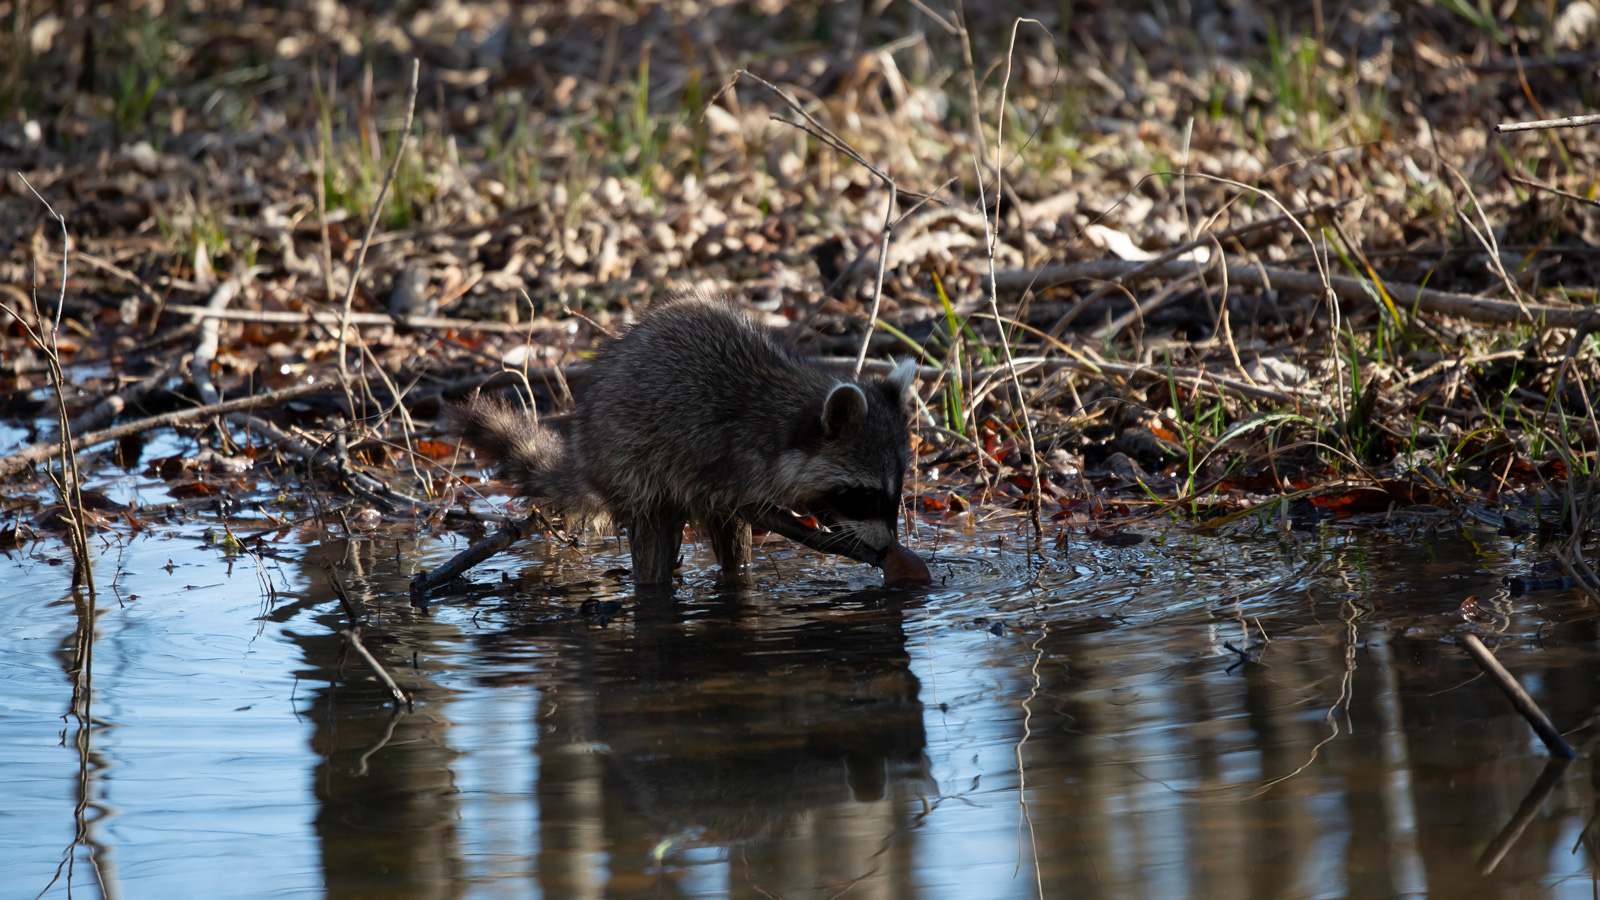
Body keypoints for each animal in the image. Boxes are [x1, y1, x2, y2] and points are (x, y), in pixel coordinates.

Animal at [452, 293, 922, 588]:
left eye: (895, 492)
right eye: (865, 495)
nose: (888, 547)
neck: (785, 414)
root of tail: (586, 450)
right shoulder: (722, 459)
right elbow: (754, 511)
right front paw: (828, 538)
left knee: (732, 545)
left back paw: (736, 576)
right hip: (632, 463)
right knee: (654, 541)